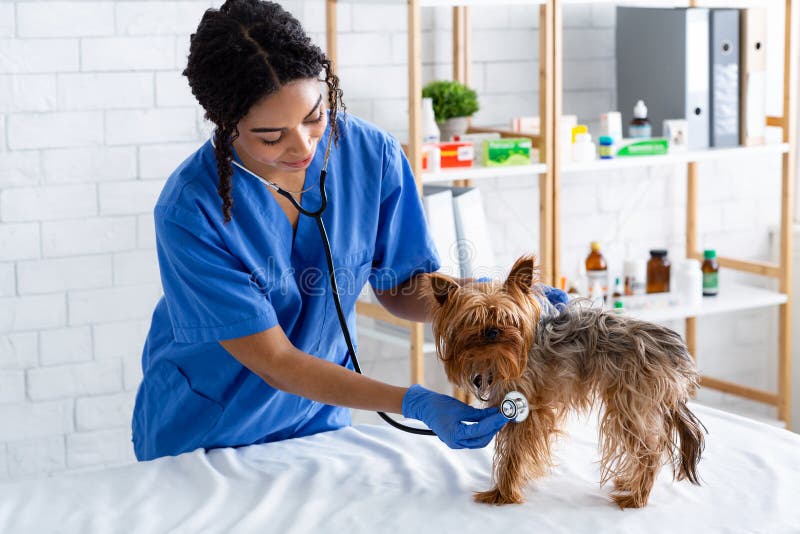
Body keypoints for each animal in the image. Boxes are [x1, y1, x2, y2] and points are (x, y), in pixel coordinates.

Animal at [424, 256, 708, 510]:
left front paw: (502, 493)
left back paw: (636, 497)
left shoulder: (526, 410)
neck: (501, 358)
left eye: (507, 318)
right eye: (474, 319)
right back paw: (629, 484)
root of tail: (674, 350)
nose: (492, 331)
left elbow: (512, 454)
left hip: (630, 403)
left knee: (649, 451)